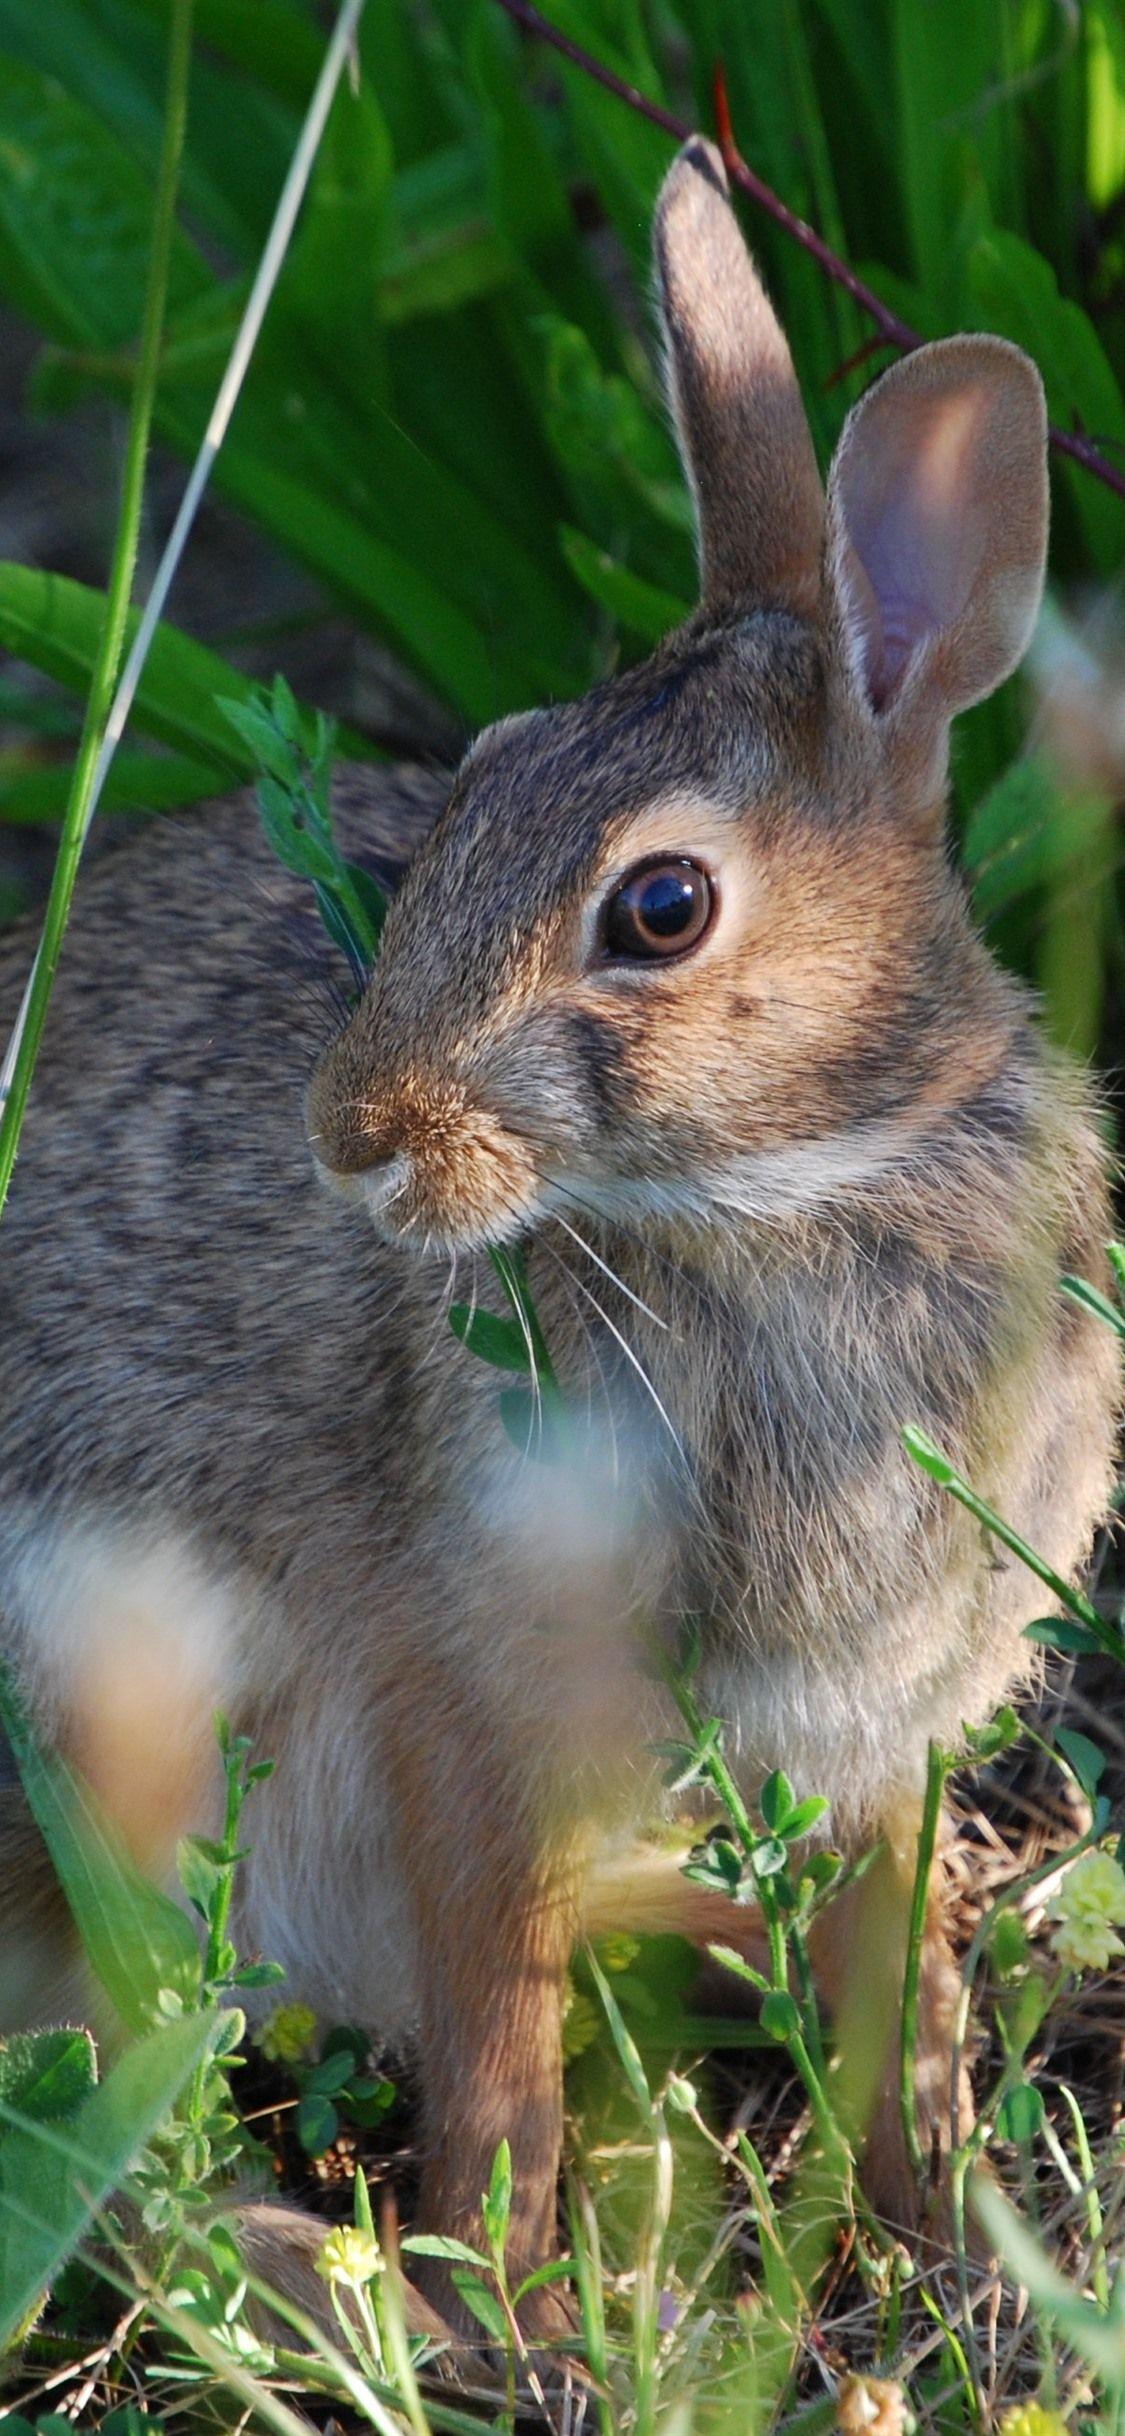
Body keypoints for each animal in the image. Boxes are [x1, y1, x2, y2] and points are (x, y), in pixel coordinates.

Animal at [0, 133, 1118, 2341]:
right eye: (476, 778)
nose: (350, 1137)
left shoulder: (883, 1724)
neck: (782, 1197)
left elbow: (874, 1955)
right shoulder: (457, 1684)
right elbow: (490, 1990)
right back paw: (343, 2287)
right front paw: (513, 2278)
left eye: (659, 908)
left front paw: (937, 2216)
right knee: (94, 2101)